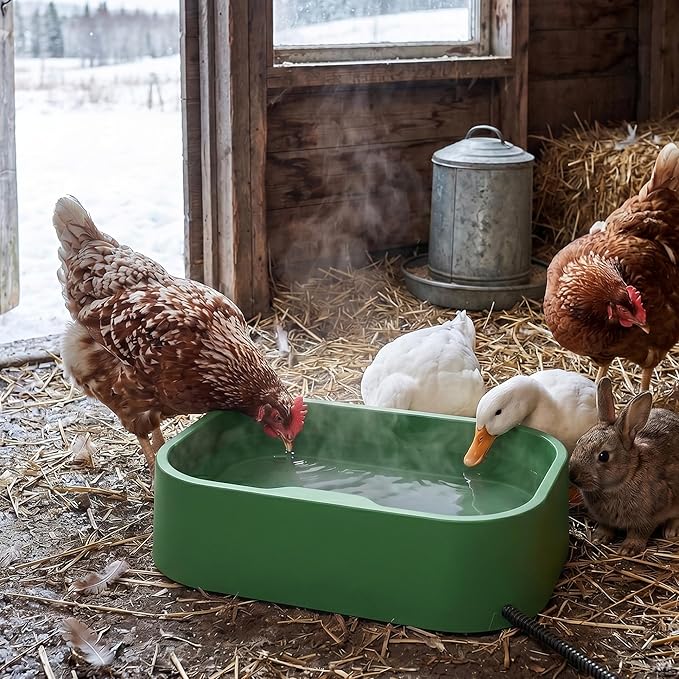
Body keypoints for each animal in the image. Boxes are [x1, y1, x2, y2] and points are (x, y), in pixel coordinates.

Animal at [568, 377, 679, 555]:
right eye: (579, 441)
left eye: (603, 456)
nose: (573, 476)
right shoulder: (604, 519)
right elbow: (606, 527)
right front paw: (599, 537)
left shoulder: (649, 516)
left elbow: (639, 532)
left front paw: (628, 549)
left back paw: (671, 531)